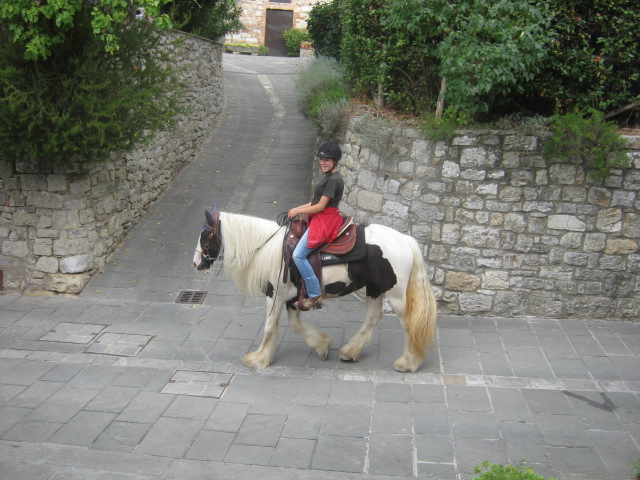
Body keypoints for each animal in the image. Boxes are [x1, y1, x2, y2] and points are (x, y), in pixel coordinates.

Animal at [192, 203, 438, 372]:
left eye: (205, 235)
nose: (196, 263)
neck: (270, 248)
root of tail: (406, 240)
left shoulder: (274, 296)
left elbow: (270, 327)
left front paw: (258, 359)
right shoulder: (291, 299)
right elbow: (295, 325)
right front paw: (322, 345)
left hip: (395, 294)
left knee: (409, 324)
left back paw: (408, 362)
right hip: (374, 288)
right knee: (373, 317)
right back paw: (350, 351)